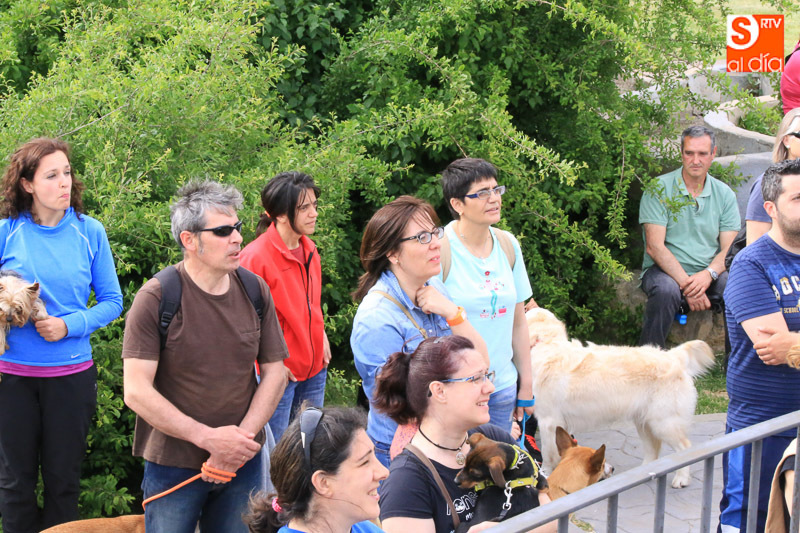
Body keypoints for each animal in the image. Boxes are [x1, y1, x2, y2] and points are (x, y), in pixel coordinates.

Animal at [527, 307, 714, 488]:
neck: (545, 343)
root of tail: (674, 356)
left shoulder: (549, 421)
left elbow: (548, 454)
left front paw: (545, 474)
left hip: (664, 422)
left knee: (684, 447)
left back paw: (681, 479)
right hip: (645, 422)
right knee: (653, 449)